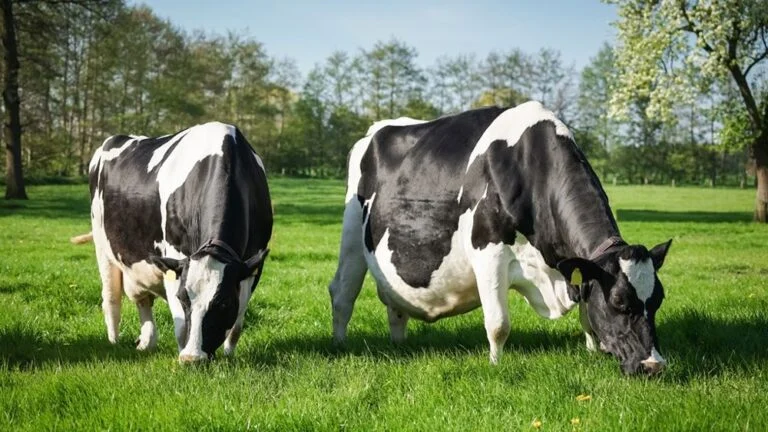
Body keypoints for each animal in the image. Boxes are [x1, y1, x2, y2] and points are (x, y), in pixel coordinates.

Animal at [87, 122, 272, 362]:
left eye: (223, 303)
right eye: (183, 298)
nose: (193, 359)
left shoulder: (252, 266)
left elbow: (237, 323)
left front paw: (228, 355)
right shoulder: (175, 260)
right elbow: (181, 324)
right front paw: (184, 350)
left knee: (143, 300)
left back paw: (147, 341)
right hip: (102, 245)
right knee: (111, 298)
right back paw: (114, 342)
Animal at [328, 101, 672, 375]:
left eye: (658, 299)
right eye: (618, 301)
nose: (653, 365)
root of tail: (377, 128)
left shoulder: (574, 269)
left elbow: (587, 313)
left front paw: (592, 351)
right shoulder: (488, 250)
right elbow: (498, 323)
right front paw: (495, 365)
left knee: (395, 304)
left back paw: (398, 344)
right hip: (351, 232)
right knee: (342, 291)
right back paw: (340, 345)